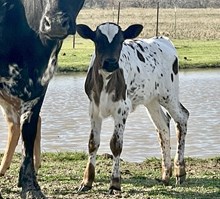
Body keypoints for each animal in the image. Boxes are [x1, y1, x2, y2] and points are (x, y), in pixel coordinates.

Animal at [77, 22, 189, 194]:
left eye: (120, 41)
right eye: (98, 40)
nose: (111, 63)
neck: (105, 81)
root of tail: (162, 39)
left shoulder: (121, 110)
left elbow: (116, 145)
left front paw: (115, 183)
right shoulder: (94, 109)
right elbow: (92, 143)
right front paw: (87, 181)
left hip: (169, 95)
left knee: (182, 117)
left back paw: (180, 171)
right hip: (151, 100)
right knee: (163, 126)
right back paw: (166, 174)